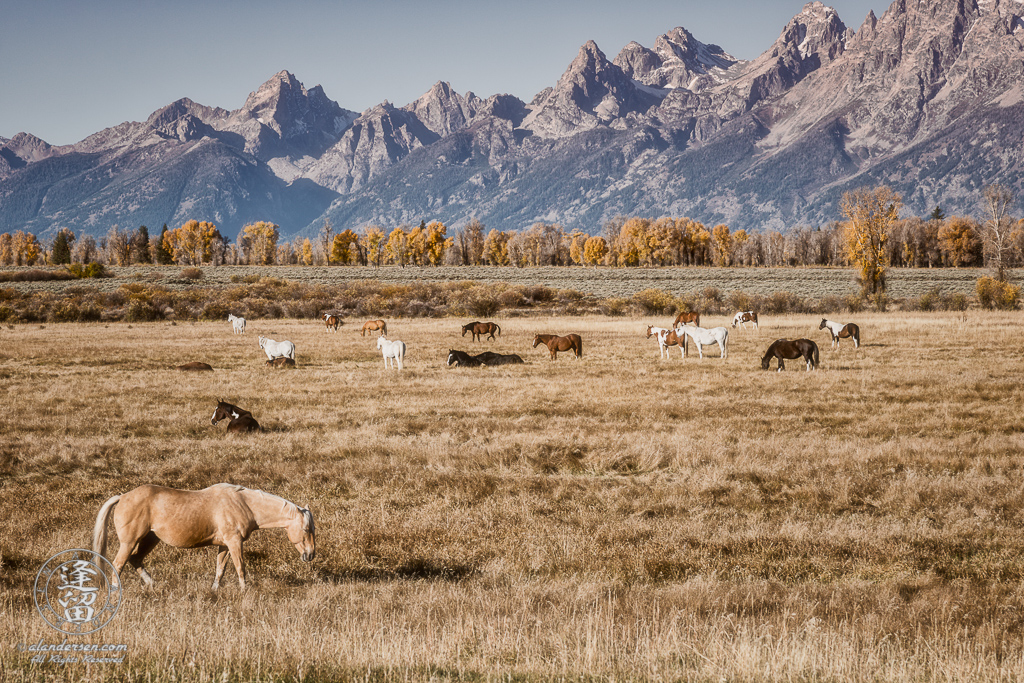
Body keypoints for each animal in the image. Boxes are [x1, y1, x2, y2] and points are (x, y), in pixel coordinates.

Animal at [92, 483, 315, 589]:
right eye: (306, 529)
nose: (310, 554)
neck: (243, 503)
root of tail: (122, 497)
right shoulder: (234, 542)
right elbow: (240, 568)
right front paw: (245, 591)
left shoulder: (224, 545)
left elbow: (220, 569)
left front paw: (214, 590)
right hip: (129, 542)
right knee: (118, 564)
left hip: (150, 539)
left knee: (135, 560)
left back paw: (152, 584)